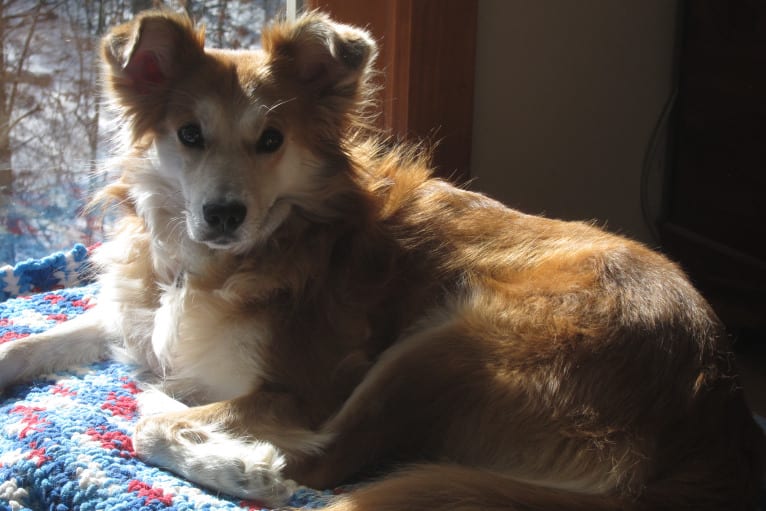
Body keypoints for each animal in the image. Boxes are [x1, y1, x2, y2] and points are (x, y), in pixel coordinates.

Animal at [1, 10, 766, 510]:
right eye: (189, 134)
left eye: (272, 140)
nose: (223, 214)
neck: (209, 262)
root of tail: (717, 421)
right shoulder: (134, 314)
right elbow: (39, 342)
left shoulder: (302, 386)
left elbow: (157, 418)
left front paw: (233, 453)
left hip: (449, 340)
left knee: (326, 461)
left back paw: (248, 465)